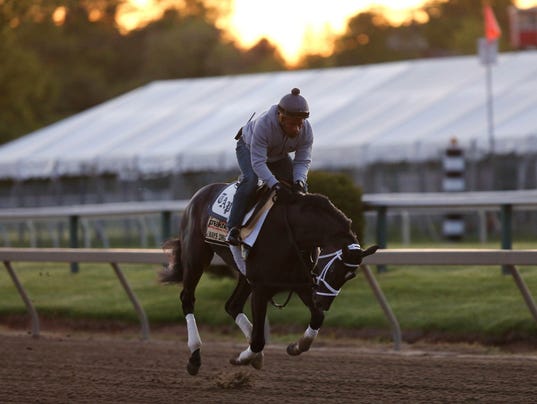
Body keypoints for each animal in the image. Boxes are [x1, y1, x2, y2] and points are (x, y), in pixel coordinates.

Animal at [159, 181, 376, 374]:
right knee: (188, 298)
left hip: (244, 274)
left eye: (350, 277)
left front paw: (297, 346)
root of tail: (200, 193)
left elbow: (317, 318)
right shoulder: (262, 288)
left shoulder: (300, 282)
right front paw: (243, 357)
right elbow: (258, 340)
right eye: (332, 271)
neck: (292, 233)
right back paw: (195, 356)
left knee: (233, 305)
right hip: (195, 257)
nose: (323, 302)